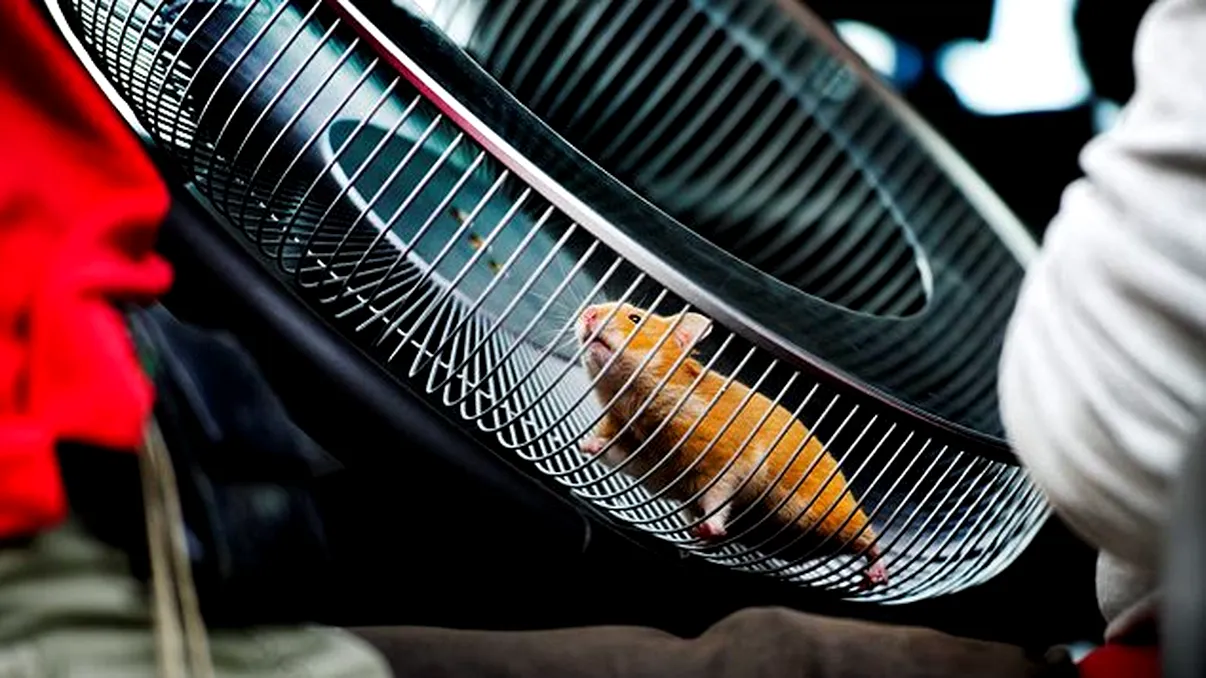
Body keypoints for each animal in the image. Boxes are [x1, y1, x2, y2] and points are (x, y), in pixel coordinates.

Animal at [576, 301, 887, 587]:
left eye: (635, 318)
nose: (587, 312)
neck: (637, 404)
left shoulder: (728, 460)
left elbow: (718, 496)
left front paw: (709, 529)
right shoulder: (643, 459)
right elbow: (613, 453)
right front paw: (585, 445)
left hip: (825, 512)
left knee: (868, 537)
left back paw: (876, 576)